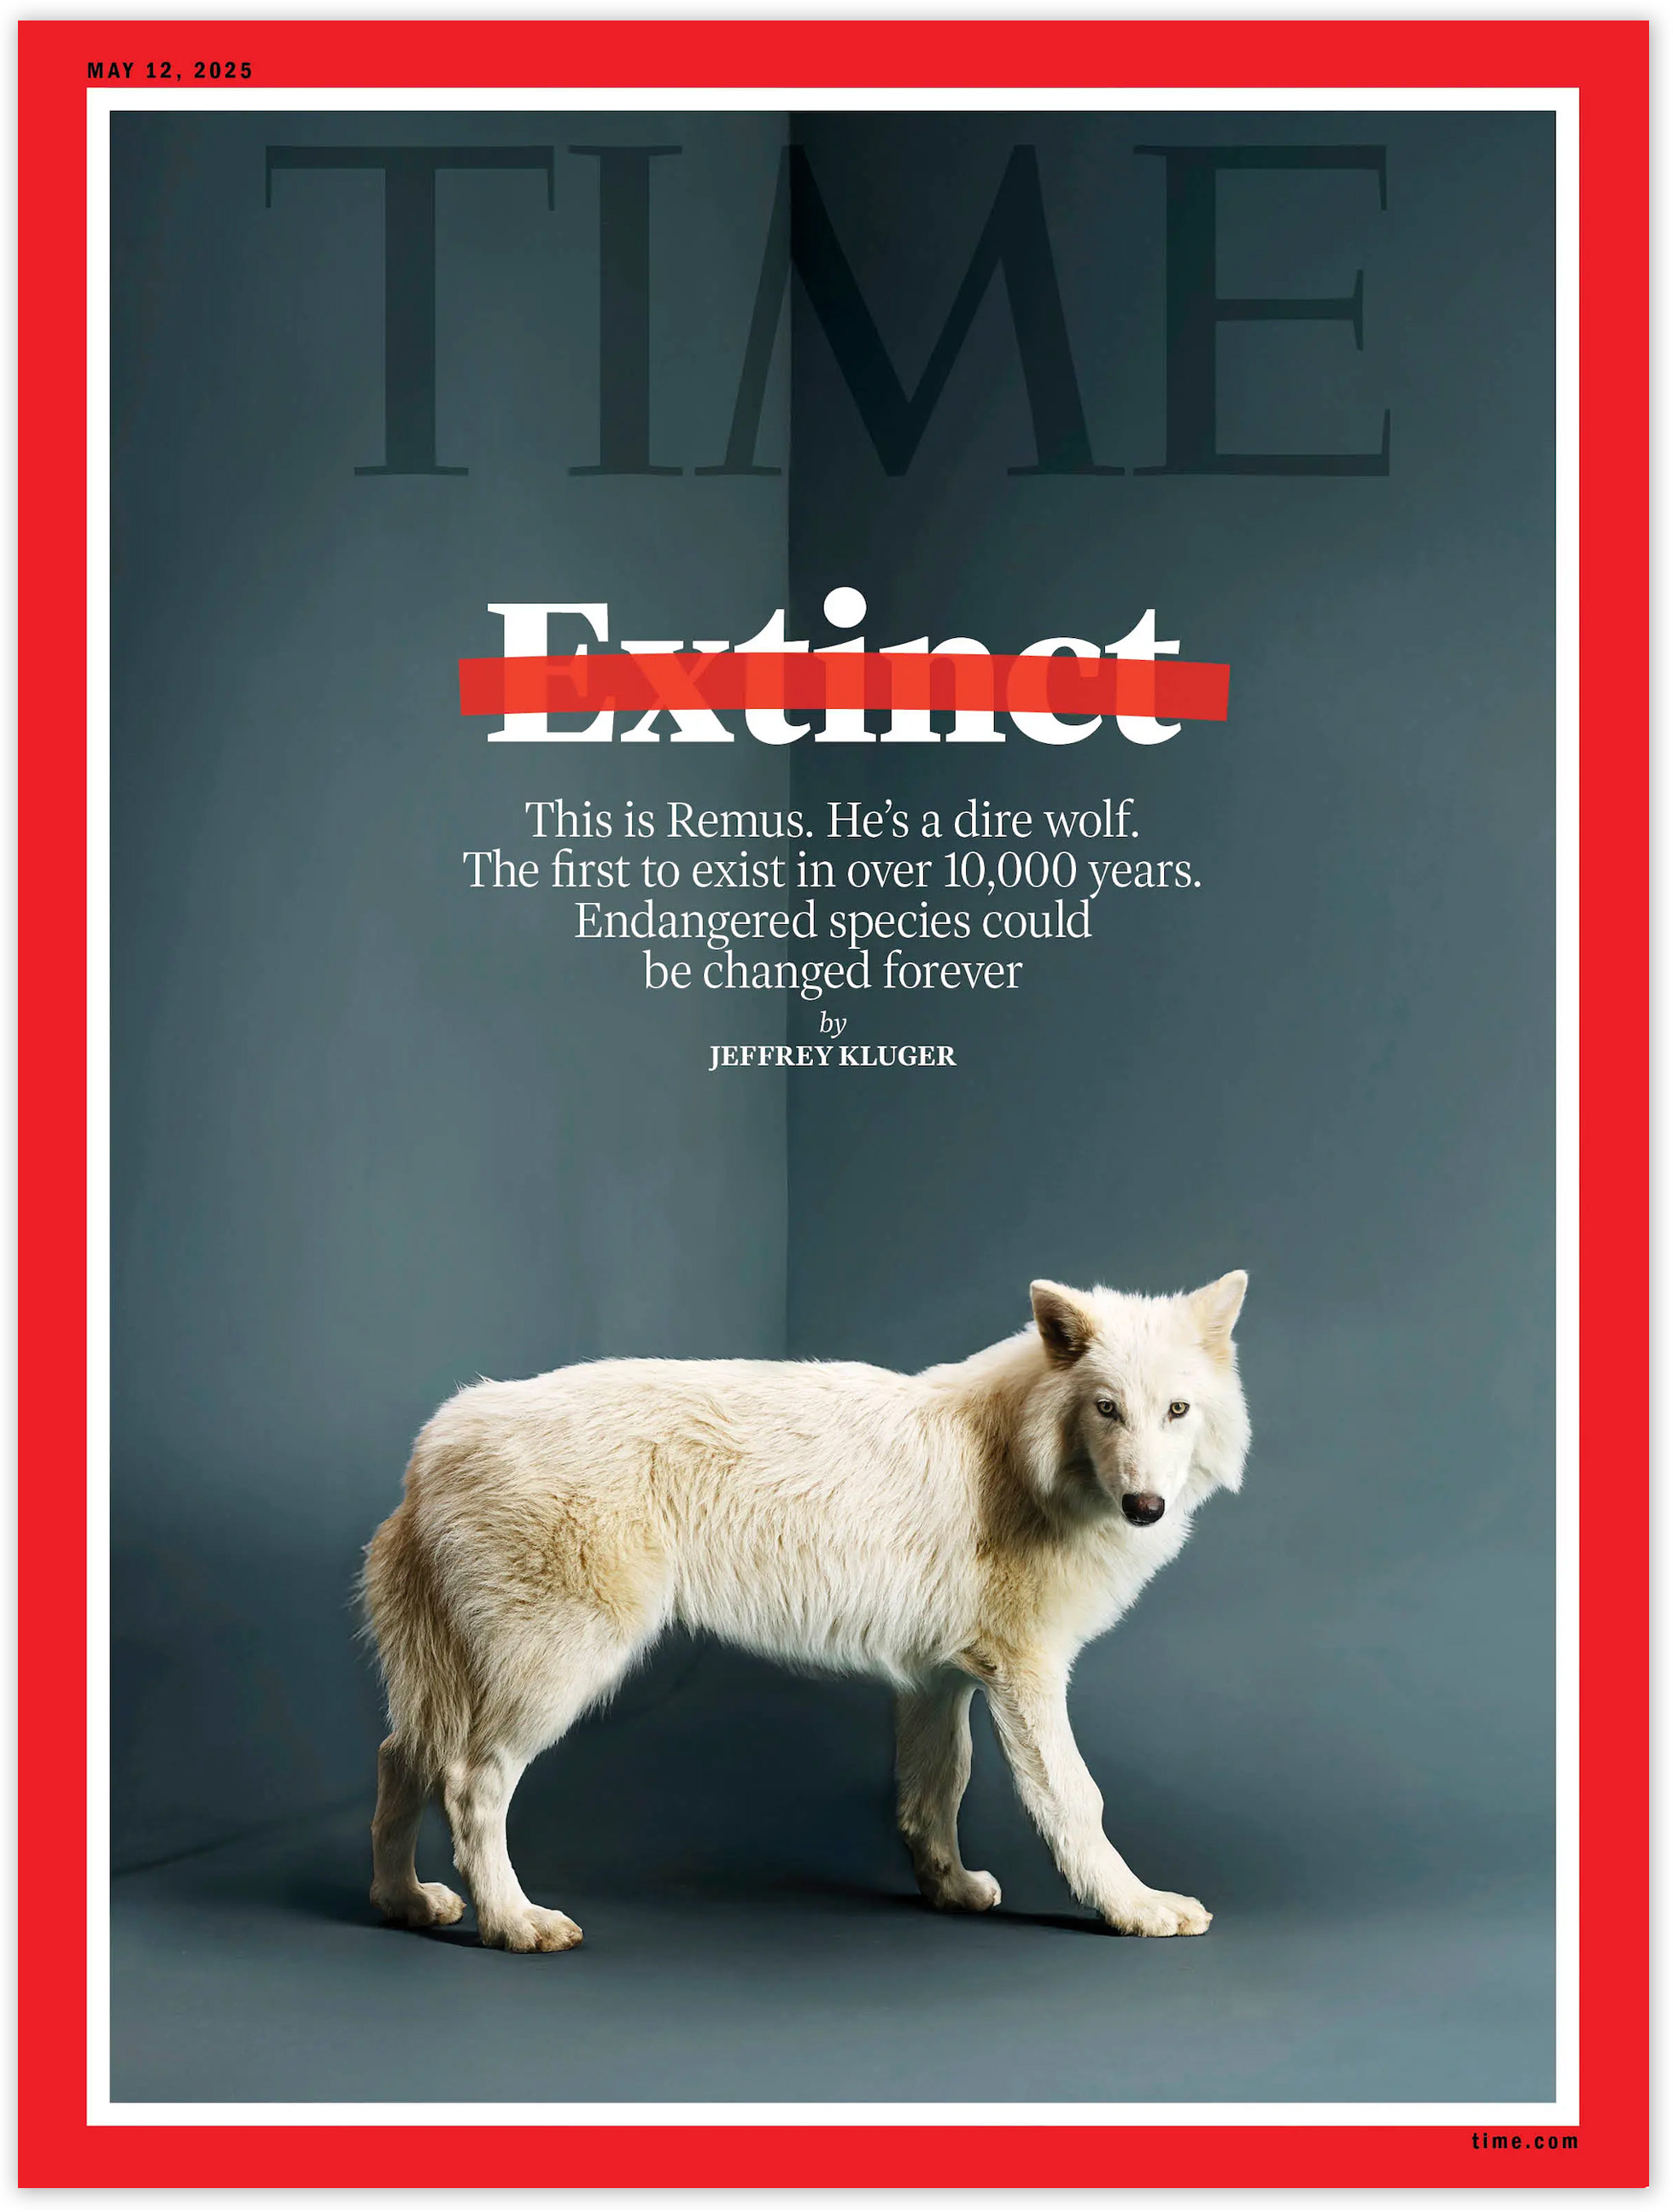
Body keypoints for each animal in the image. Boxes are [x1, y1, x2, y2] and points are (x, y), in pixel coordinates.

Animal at [362, 1271, 1249, 1951]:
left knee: (398, 1756)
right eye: (1106, 1408)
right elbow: (1076, 1799)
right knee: (469, 1782)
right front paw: (1135, 1909)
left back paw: (403, 1902)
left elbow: (936, 1793)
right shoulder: (1025, 1675)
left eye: (1176, 1411)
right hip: (556, 1674)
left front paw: (951, 1890)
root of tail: (435, 1438)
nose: (1144, 1507)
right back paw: (514, 1923)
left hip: (456, 1681)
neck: (1021, 1459)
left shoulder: (938, 1682)